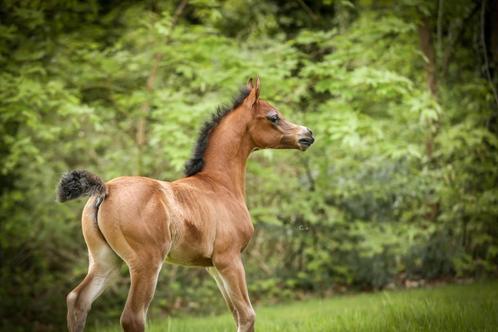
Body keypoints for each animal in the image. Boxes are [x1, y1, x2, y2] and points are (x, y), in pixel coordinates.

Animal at [57, 76, 316, 330]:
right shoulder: (229, 259)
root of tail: (106, 189)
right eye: (274, 116)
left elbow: (236, 314)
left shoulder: (212, 267)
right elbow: (247, 315)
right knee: (132, 317)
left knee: (78, 300)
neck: (219, 184)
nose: (308, 134)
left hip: (104, 261)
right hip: (145, 264)